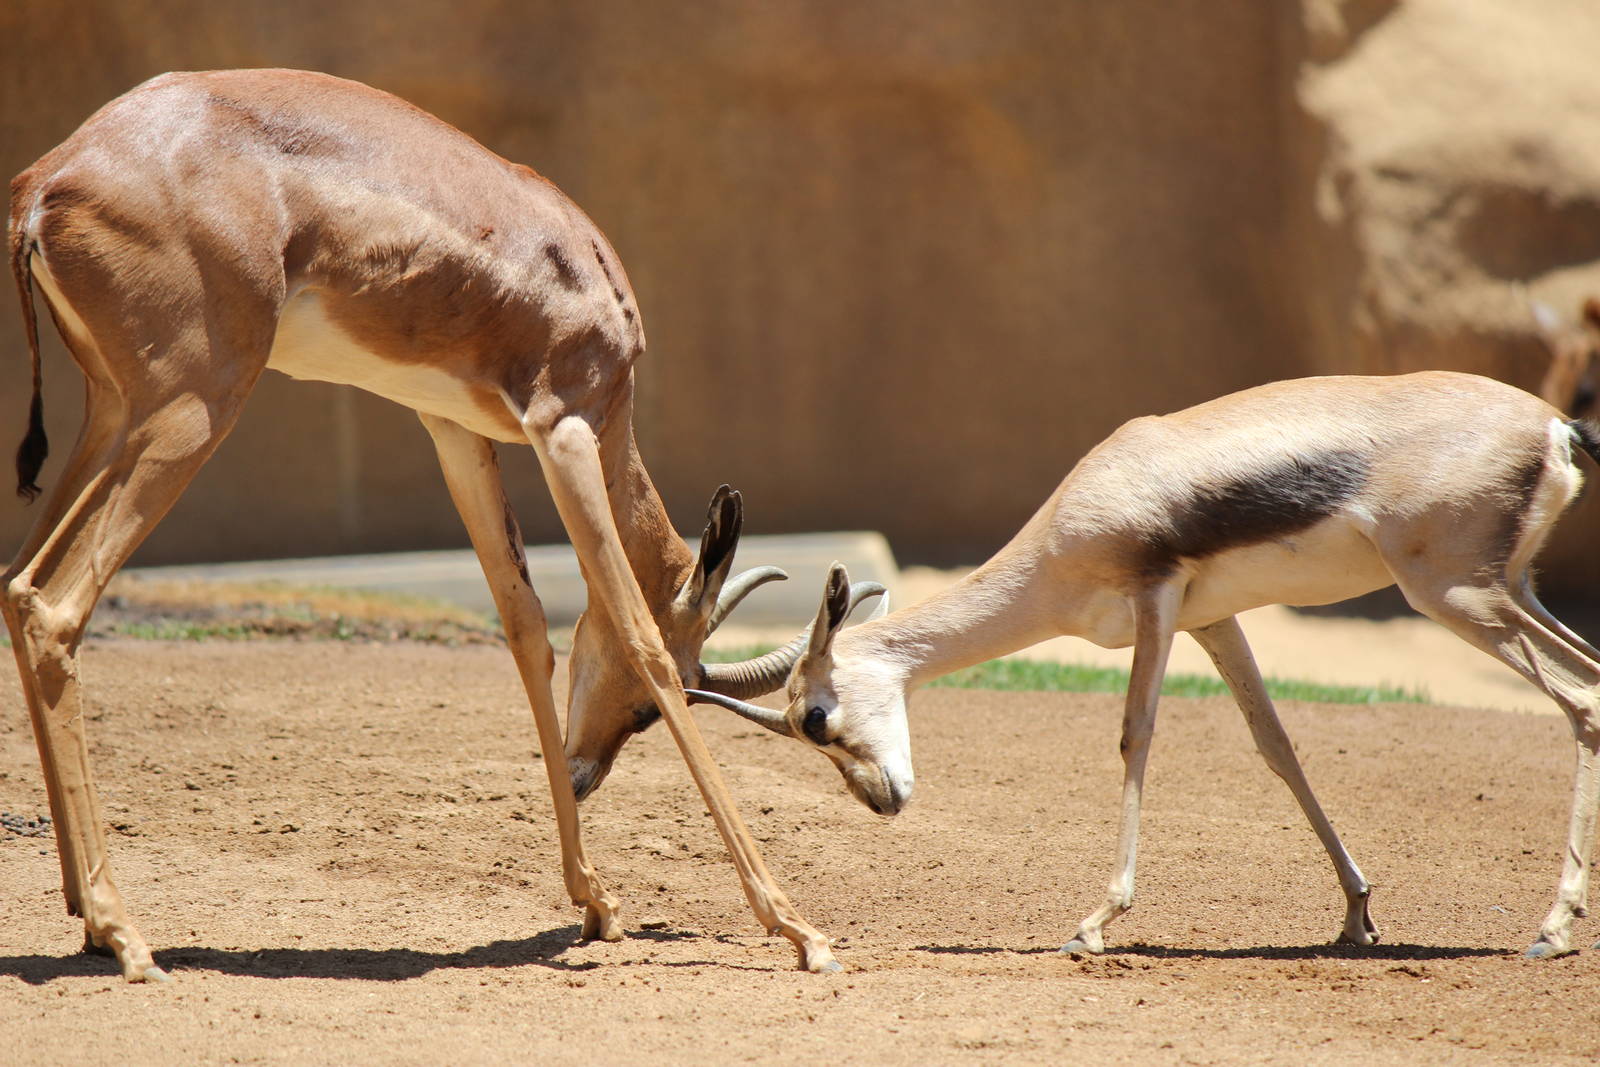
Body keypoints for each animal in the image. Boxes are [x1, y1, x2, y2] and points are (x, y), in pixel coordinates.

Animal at [3, 68, 873, 980]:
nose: (584, 772)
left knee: (17, 585)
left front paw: (596, 900)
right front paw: (801, 930)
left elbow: (526, 627)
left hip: (112, 413)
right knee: (56, 607)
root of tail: (48, 181)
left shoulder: (454, 430)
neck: (584, 275)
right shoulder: (565, 429)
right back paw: (124, 932)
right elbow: (638, 634)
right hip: (193, 407)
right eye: (638, 712)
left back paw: (84, 912)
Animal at [692, 371, 1600, 959]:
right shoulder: (1212, 619)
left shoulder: (1155, 602)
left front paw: (1093, 923)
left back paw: (1551, 930)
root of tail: (1553, 427)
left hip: (1455, 593)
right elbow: (1276, 745)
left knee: (1583, 699)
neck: (1076, 510)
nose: (881, 800)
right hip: (1511, 588)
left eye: (814, 718)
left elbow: (1136, 737)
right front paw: (1355, 914)